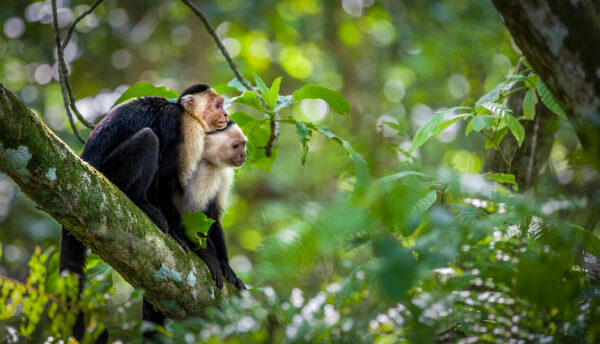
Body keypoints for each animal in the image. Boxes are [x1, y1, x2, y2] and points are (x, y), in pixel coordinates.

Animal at [59, 84, 230, 344]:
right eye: (218, 105)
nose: (226, 115)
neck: (187, 114)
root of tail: (85, 165)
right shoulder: (184, 129)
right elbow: (169, 178)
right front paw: (194, 245)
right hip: (109, 172)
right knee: (149, 139)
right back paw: (141, 201)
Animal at [184, 121, 247, 290]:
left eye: (244, 145)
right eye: (236, 146)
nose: (244, 155)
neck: (208, 159)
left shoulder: (223, 173)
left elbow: (216, 218)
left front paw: (226, 266)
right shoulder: (205, 172)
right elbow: (192, 216)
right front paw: (211, 259)